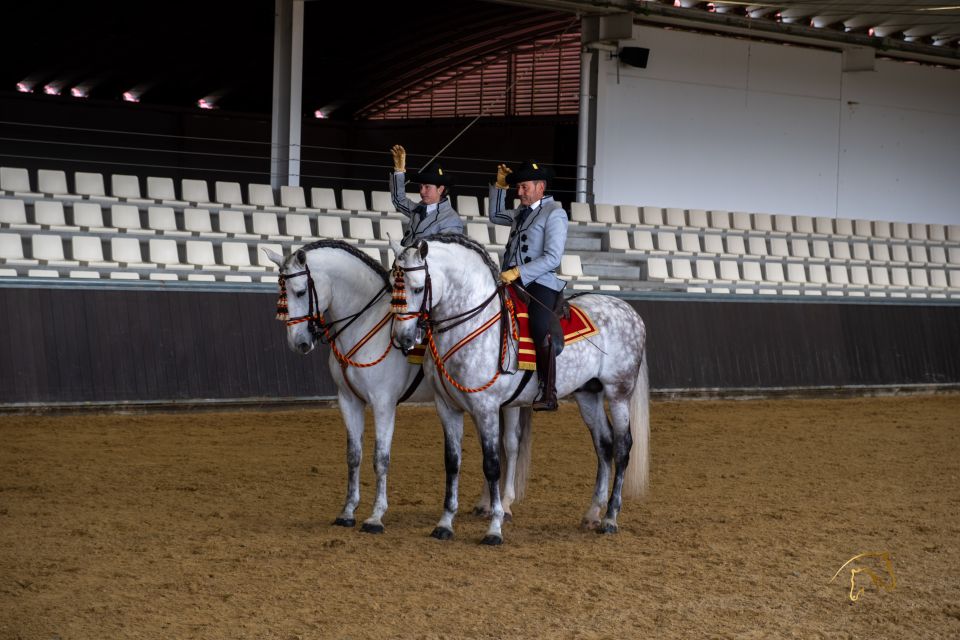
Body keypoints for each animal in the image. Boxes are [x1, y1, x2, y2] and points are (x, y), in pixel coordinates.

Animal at [266, 240, 528, 536]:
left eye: (299, 292)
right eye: (281, 294)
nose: (299, 342)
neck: (364, 323)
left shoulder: (383, 403)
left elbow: (380, 458)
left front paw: (375, 516)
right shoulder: (348, 401)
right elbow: (353, 456)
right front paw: (347, 512)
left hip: (504, 404)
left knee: (510, 446)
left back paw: (505, 505)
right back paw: (485, 505)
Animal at [390, 236, 652, 544]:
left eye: (418, 288)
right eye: (393, 284)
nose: (403, 338)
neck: (471, 323)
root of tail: (626, 308)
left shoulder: (487, 408)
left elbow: (492, 464)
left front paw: (494, 528)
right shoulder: (447, 408)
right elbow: (452, 463)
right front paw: (444, 524)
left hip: (618, 392)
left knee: (622, 447)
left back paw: (610, 517)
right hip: (589, 394)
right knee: (604, 444)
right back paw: (592, 513)